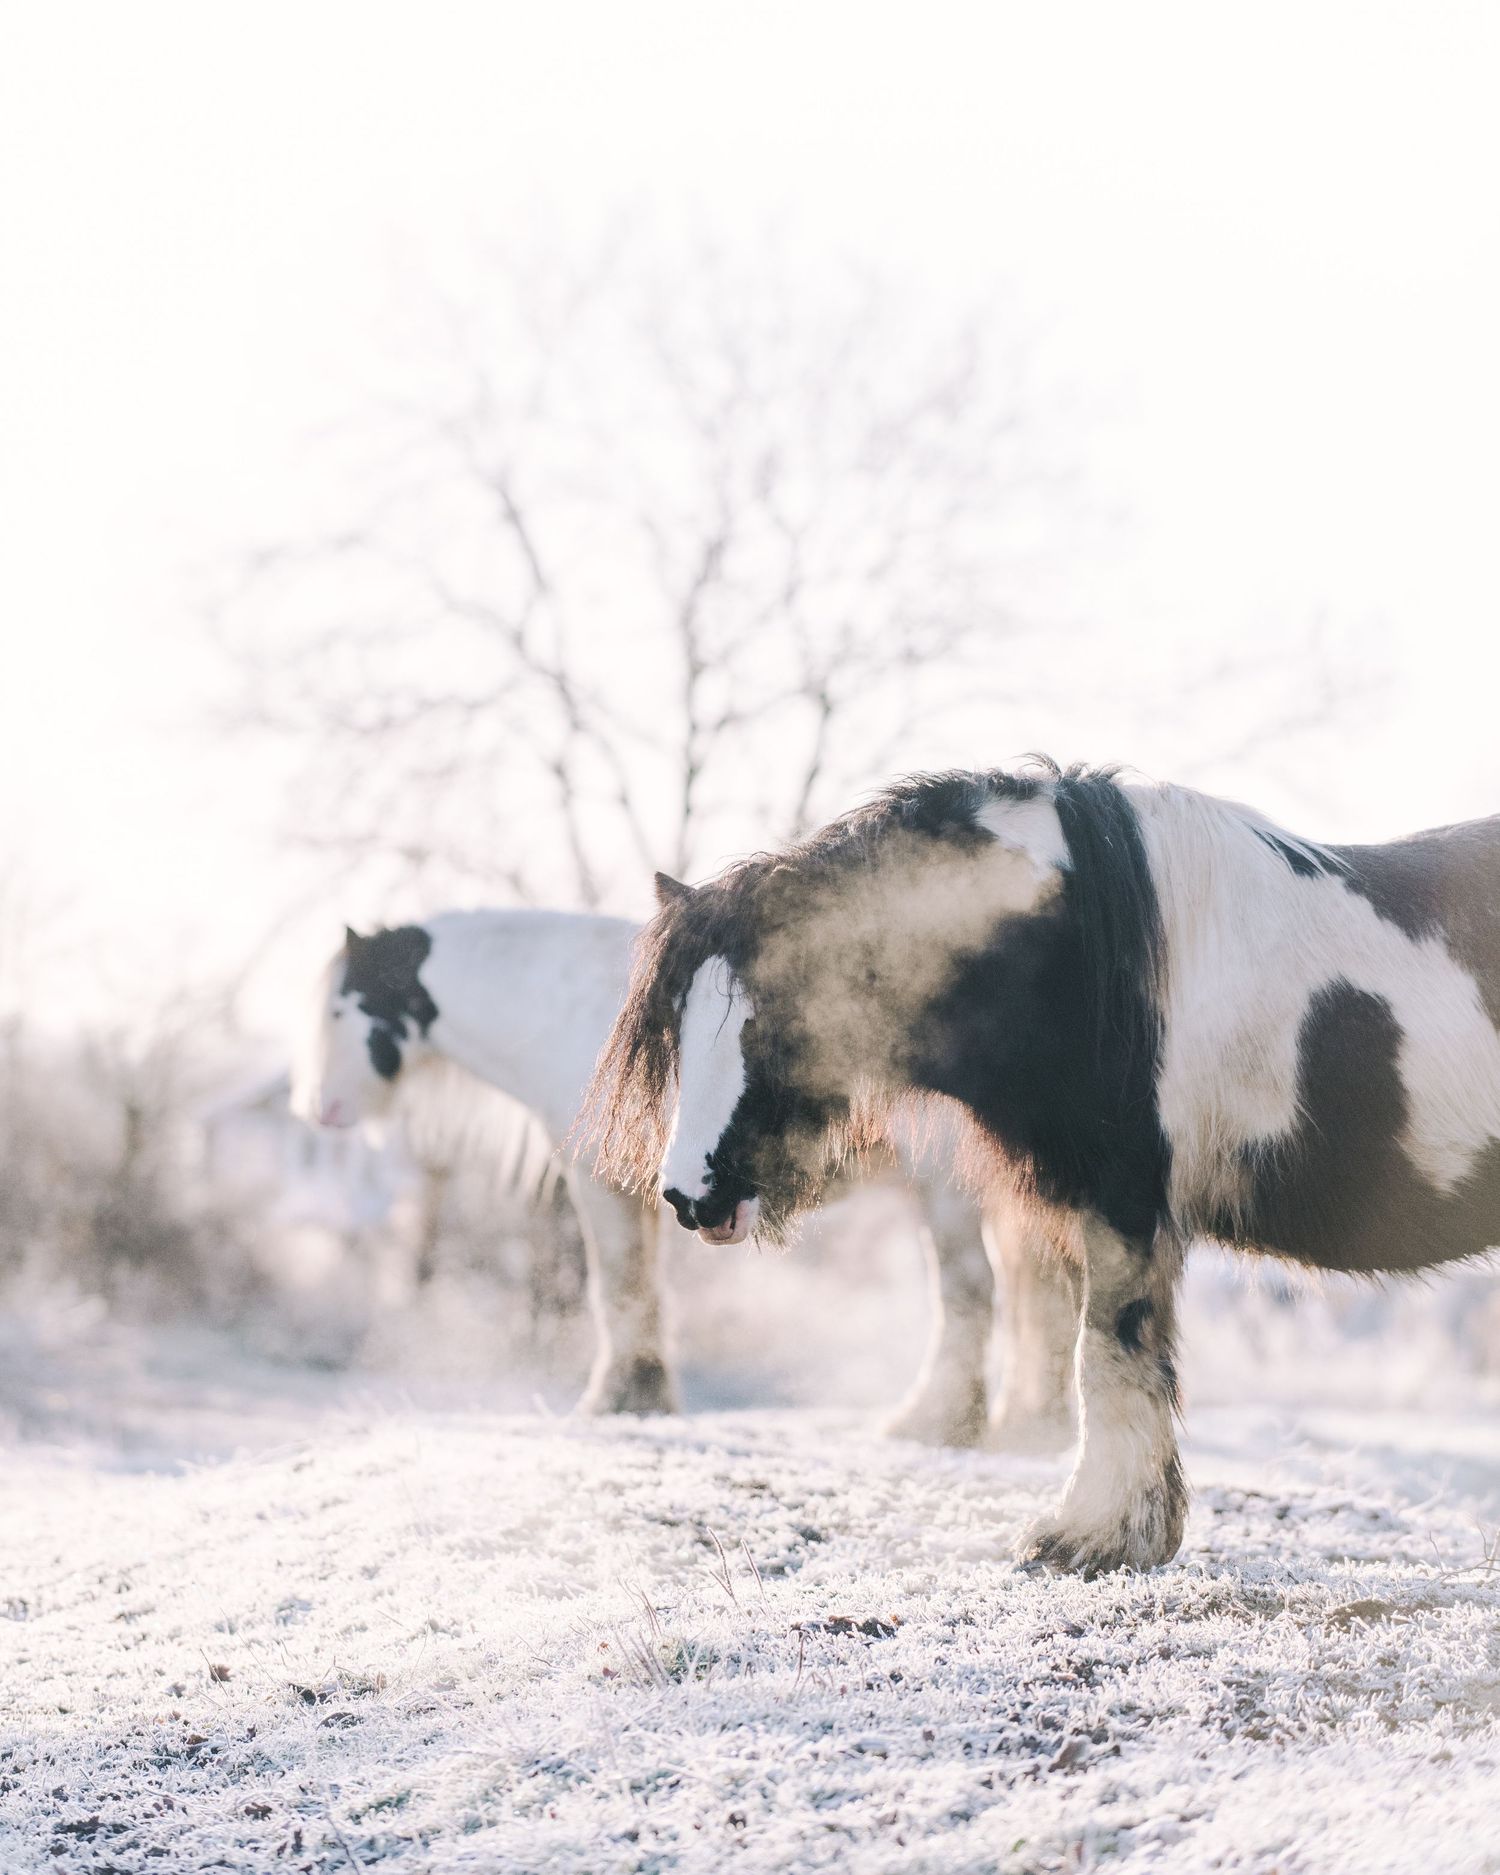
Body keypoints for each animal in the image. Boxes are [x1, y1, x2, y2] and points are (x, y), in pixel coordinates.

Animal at [292, 905, 1080, 1446]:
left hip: (947, 1194)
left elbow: (618, 1288)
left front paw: (614, 1401)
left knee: (973, 1295)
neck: (562, 1008)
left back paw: (936, 1421)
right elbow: (638, 1289)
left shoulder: (597, 1185)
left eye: (339, 1008)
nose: (318, 1108)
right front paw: (642, 1397)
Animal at [588, 761, 1500, 1576]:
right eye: (676, 1025)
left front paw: (1090, 1537)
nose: (688, 1193)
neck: (1073, 945)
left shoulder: (1125, 1202)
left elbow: (1108, 1355)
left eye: (772, 1024)